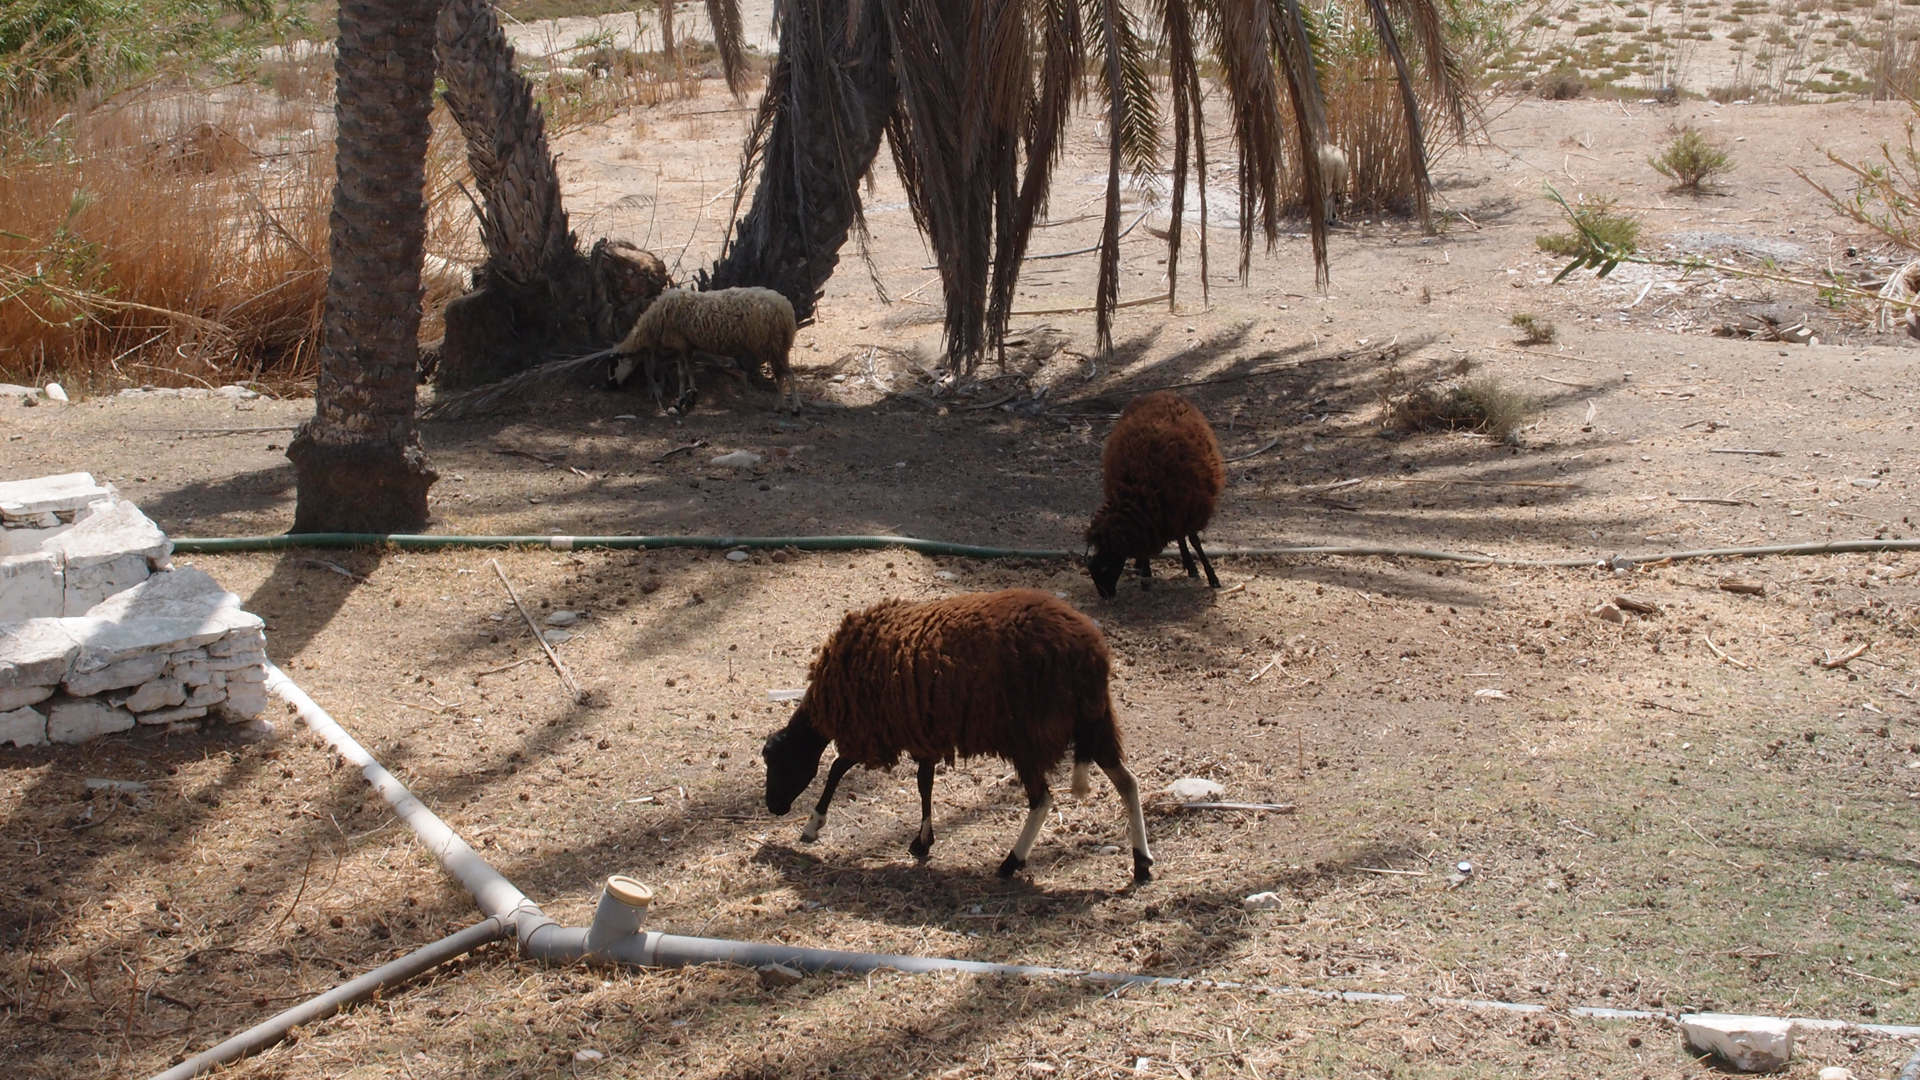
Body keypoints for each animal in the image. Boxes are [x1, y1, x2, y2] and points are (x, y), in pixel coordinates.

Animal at [610, 286, 798, 411]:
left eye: (614, 365)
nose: (611, 384)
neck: (651, 325)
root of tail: (786, 307)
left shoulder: (680, 344)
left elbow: (682, 372)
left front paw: (682, 399)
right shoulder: (686, 346)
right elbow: (688, 371)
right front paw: (690, 394)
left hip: (773, 346)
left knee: (788, 374)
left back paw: (795, 408)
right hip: (779, 347)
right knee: (781, 375)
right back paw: (779, 406)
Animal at [760, 588, 1152, 883]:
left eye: (774, 762)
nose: (773, 807)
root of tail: (1092, 654)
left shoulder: (870, 730)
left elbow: (836, 770)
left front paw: (813, 825)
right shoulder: (921, 732)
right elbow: (924, 783)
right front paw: (923, 841)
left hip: (1028, 735)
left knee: (1042, 800)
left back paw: (1011, 863)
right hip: (1095, 723)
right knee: (1128, 782)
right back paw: (1142, 864)